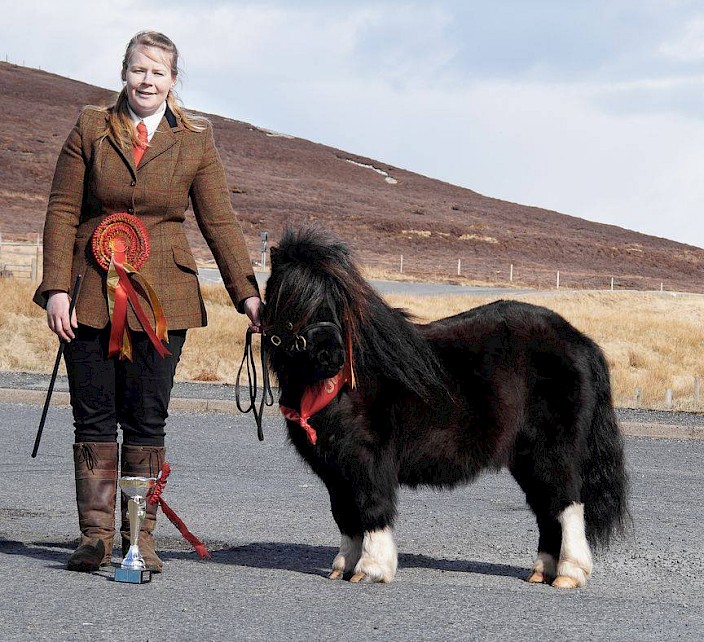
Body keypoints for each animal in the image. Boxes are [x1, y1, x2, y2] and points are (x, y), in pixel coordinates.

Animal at [262, 226, 628, 584]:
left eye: (340, 302)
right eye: (289, 296)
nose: (331, 357)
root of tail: (579, 342)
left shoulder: (367, 460)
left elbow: (370, 507)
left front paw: (372, 568)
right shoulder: (335, 468)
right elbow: (345, 515)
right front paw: (343, 566)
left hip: (554, 450)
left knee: (566, 504)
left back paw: (569, 573)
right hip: (527, 456)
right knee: (546, 506)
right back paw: (542, 571)